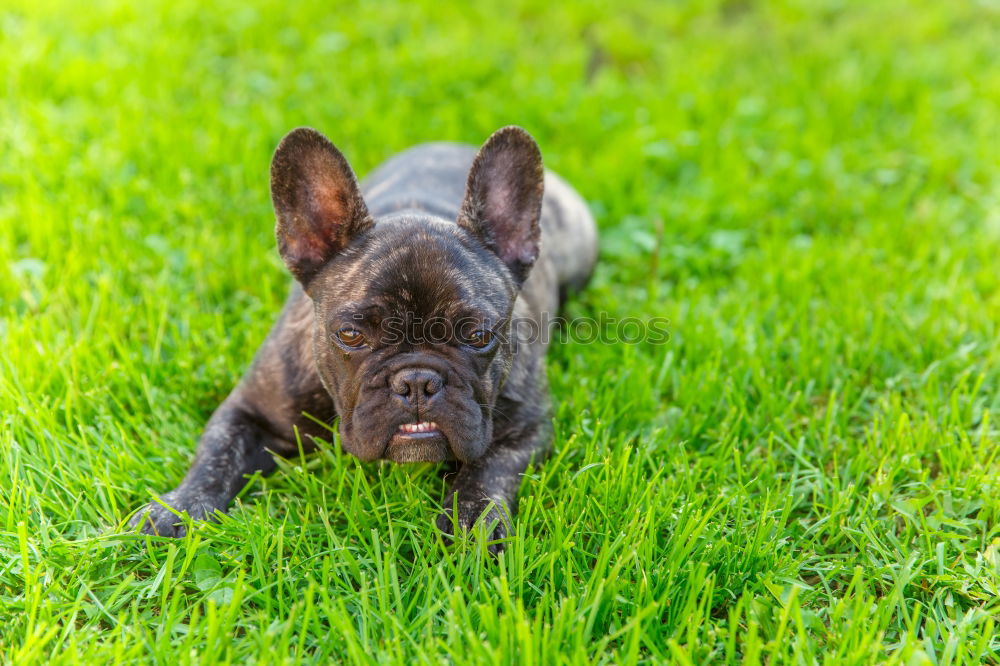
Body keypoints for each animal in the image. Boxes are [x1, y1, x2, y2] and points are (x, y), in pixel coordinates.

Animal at [125, 124, 592, 548]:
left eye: (478, 335)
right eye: (350, 335)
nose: (417, 381)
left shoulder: (527, 428)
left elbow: (492, 469)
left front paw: (474, 522)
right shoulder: (249, 411)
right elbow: (214, 457)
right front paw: (176, 509)